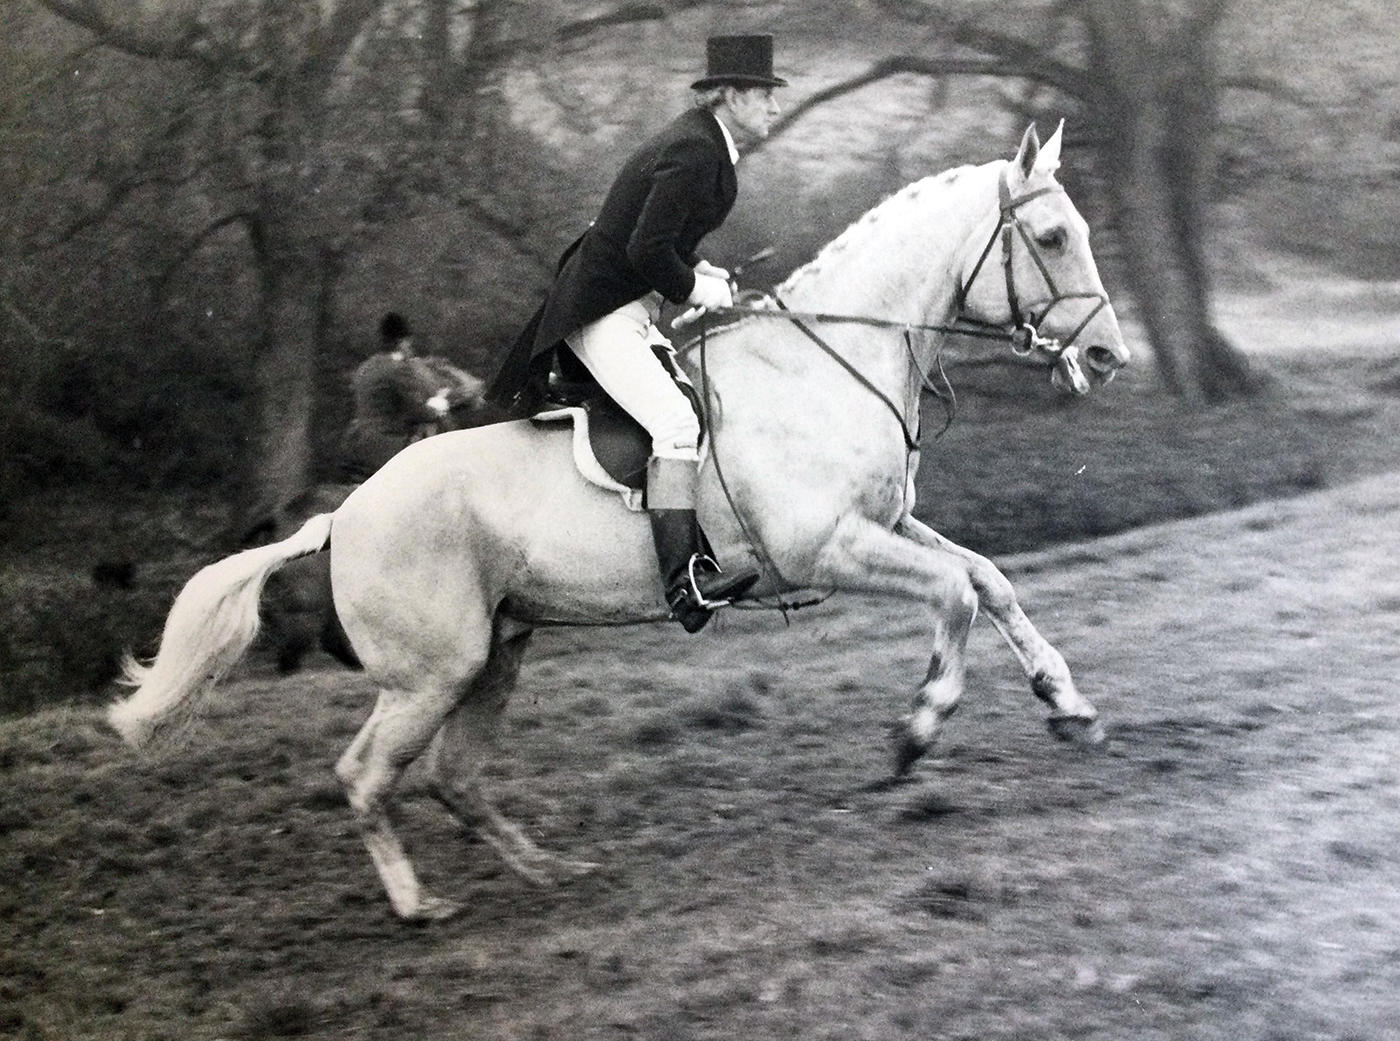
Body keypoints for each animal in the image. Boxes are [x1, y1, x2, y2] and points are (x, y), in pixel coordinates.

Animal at [109, 123, 1130, 920]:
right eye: (1050, 236)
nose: (1108, 357)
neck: (828, 360)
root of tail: (342, 515)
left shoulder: (886, 524)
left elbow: (990, 580)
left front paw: (1068, 704)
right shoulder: (825, 546)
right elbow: (956, 595)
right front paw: (916, 731)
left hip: (495, 655)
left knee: (453, 778)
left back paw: (552, 869)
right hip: (433, 673)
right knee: (366, 776)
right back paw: (416, 902)